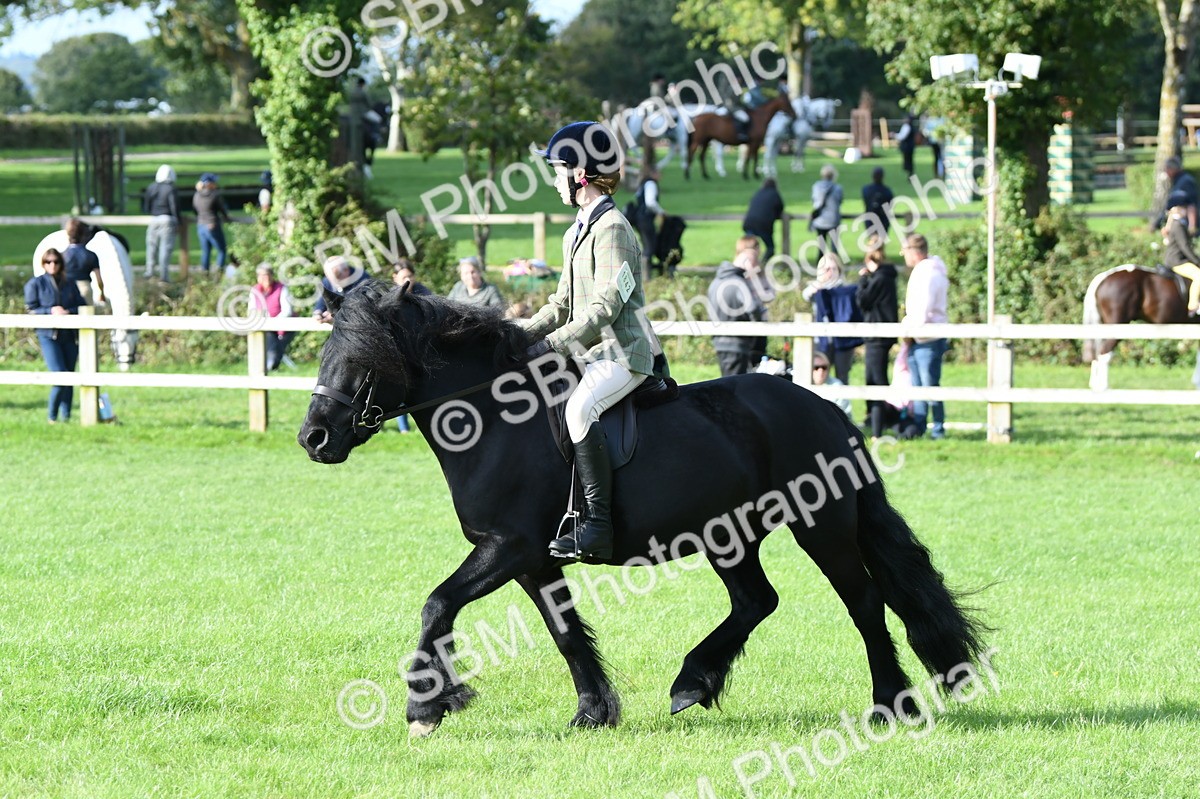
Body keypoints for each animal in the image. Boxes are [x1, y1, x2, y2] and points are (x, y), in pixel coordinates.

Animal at [298, 282, 987, 736]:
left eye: (362, 359)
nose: (314, 439)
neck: (496, 420)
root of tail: (823, 406)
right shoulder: (533, 561)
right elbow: (565, 633)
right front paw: (593, 712)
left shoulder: (507, 547)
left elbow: (437, 605)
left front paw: (426, 707)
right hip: (730, 536)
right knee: (756, 600)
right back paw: (693, 683)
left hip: (822, 527)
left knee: (864, 603)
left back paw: (889, 705)